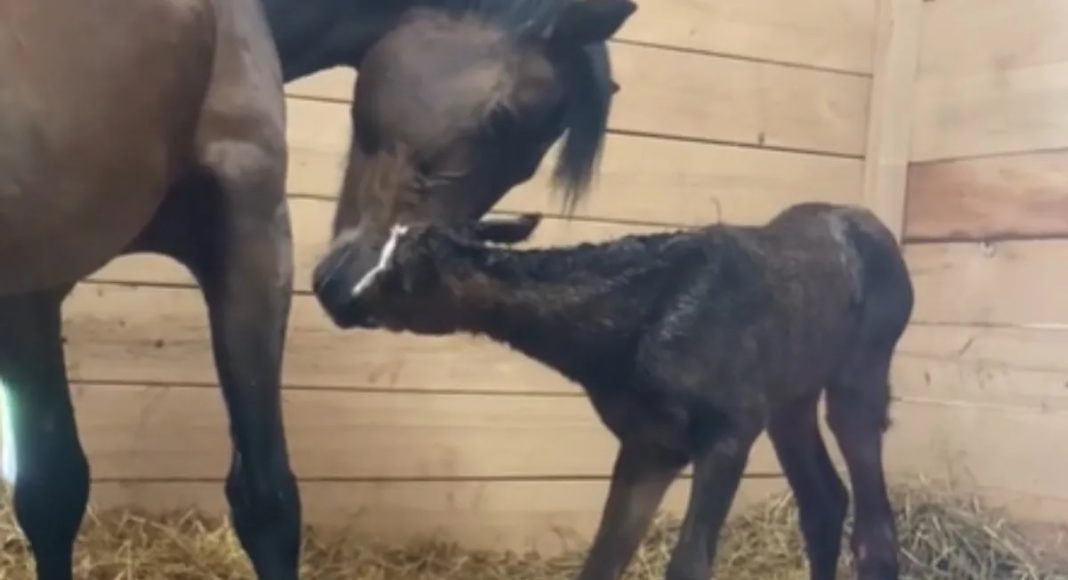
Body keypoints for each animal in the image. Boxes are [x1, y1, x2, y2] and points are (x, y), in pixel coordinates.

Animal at [322, 200, 909, 580]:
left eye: (400, 271)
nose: (340, 297)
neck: (616, 340)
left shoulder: (728, 427)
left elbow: (688, 565)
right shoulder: (650, 444)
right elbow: (603, 559)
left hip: (860, 373)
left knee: (873, 526)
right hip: (791, 397)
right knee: (824, 503)